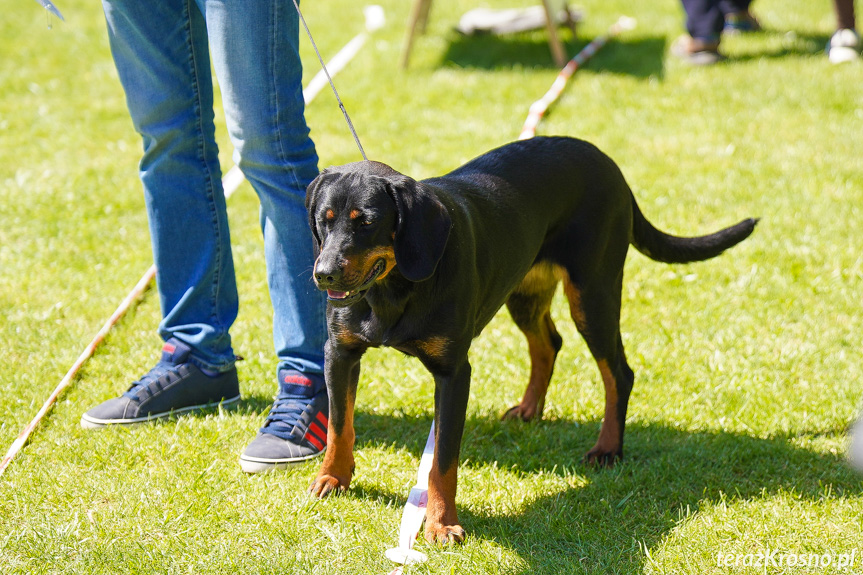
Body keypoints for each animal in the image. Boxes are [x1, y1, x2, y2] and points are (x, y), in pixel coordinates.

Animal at [304, 136, 756, 544]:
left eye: (366, 221)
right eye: (324, 219)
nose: (324, 274)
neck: (392, 290)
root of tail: (606, 161)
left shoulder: (453, 372)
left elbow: (443, 460)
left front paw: (441, 524)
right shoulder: (340, 353)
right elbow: (340, 425)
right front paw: (333, 478)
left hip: (593, 295)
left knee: (618, 372)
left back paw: (608, 448)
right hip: (524, 293)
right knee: (548, 344)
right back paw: (529, 409)